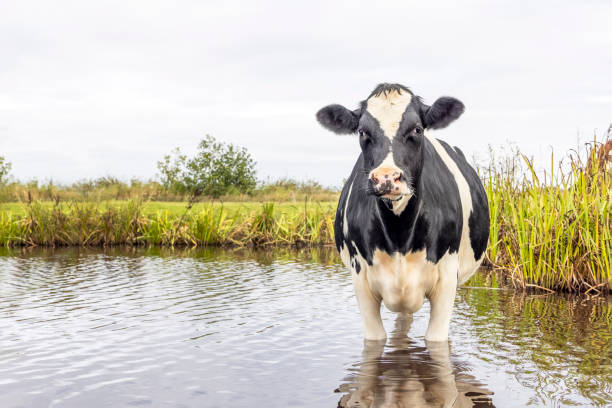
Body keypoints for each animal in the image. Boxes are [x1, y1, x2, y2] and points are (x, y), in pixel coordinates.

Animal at [316, 83, 488, 342]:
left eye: (416, 129)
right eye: (362, 132)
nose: (386, 178)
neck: (399, 234)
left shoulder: (447, 280)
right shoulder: (361, 281)